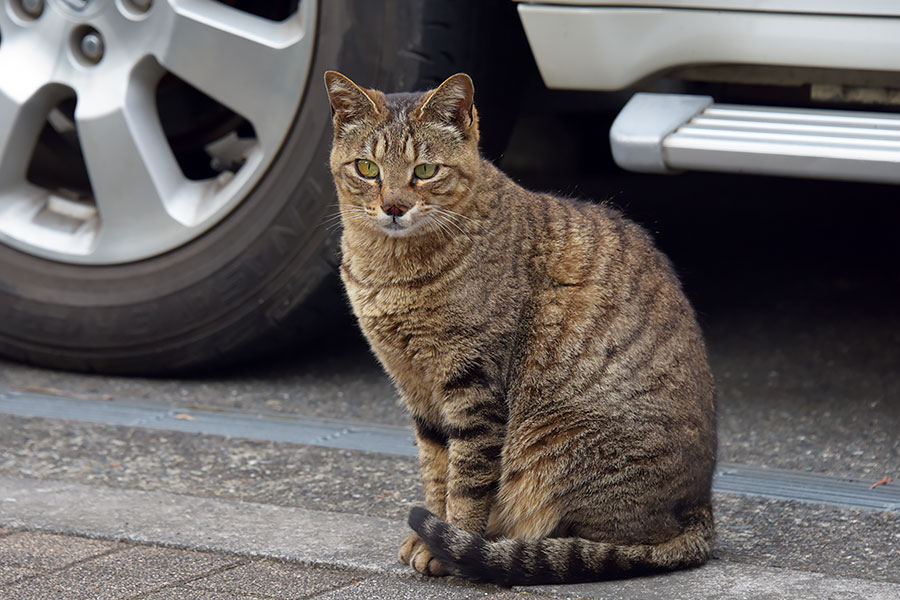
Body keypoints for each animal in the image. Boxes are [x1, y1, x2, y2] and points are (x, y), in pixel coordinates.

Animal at [324, 71, 716, 584]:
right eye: (367, 168)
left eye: (425, 171)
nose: (393, 206)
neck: (391, 271)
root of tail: (700, 510)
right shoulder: (416, 388)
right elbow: (435, 469)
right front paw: (431, 532)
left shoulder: (474, 384)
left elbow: (467, 480)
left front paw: (450, 542)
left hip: (559, 444)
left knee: (607, 541)